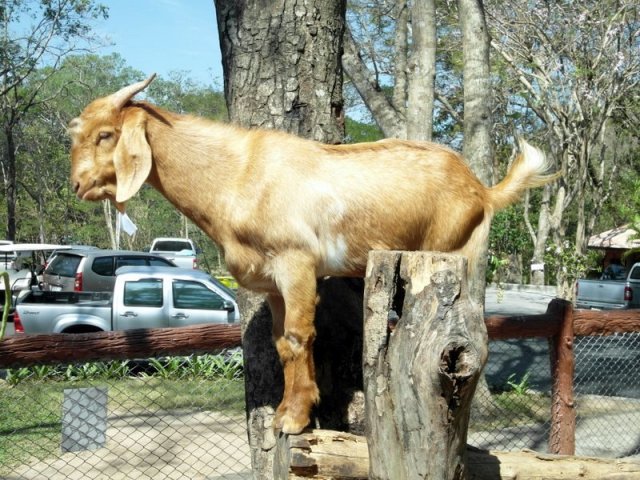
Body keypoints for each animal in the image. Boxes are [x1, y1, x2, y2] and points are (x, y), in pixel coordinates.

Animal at [70, 74, 556, 436]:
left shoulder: (297, 264)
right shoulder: (272, 282)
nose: (78, 184)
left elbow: (301, 335)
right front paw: (286, 413)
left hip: (451, 251)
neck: (238, 176)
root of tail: (483, 190)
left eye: (106, 134)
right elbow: (283, 343)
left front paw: (296, 419)